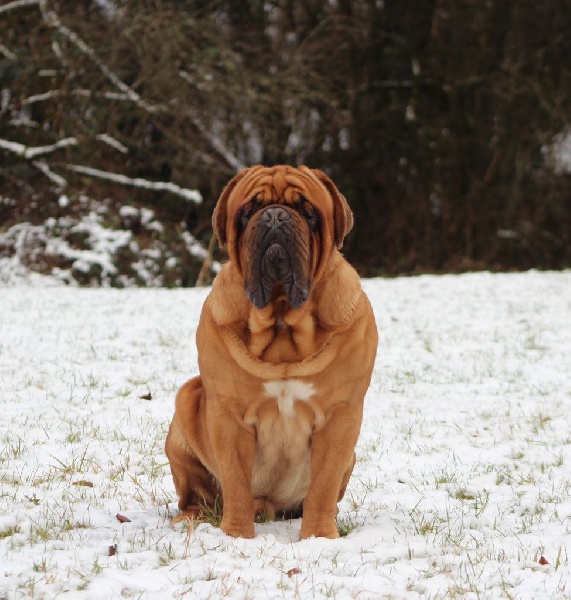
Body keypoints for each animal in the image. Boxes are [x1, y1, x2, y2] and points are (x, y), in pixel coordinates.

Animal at [164, 164, 380, 540]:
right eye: (247, 210)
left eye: (308, 211)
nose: (275, 216)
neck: (282, 322)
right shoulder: (229, 415)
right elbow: (236, 481)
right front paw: (236, 536)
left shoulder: (340, 416)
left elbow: (323, 485)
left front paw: (319, 537)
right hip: (185, 406)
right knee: (196, 493)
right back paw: (191, 517)